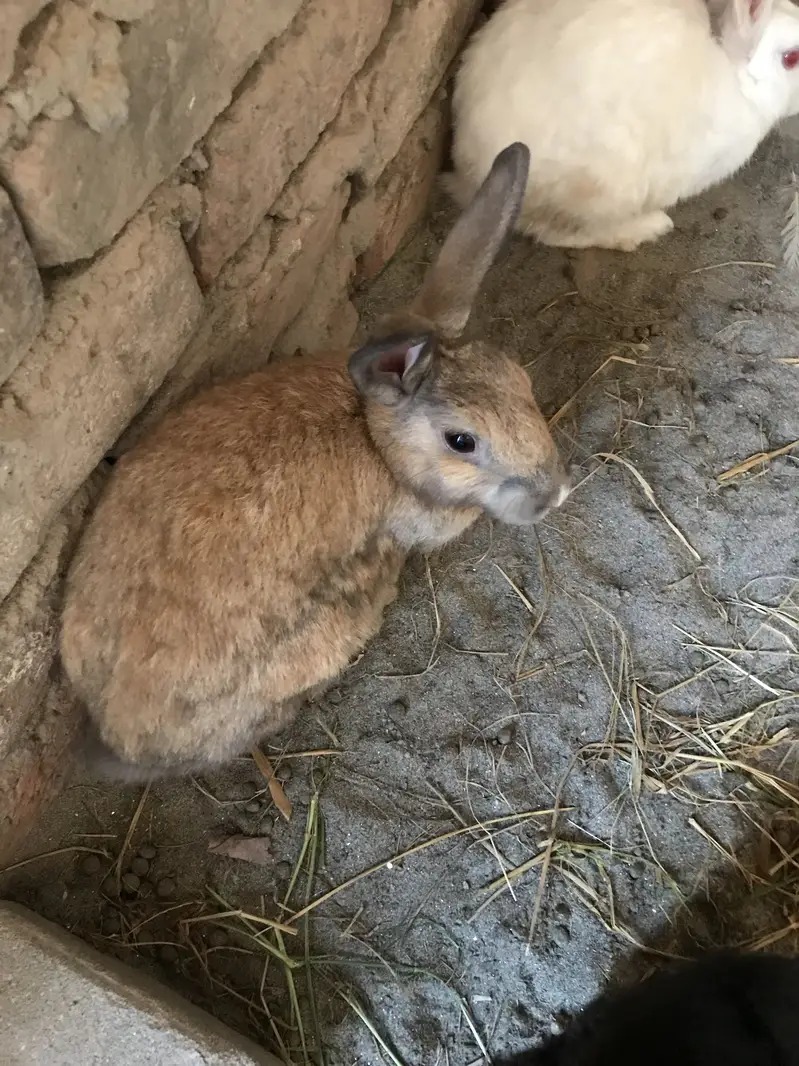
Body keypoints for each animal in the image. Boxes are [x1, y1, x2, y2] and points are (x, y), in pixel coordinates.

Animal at [447, 0, 799, 251]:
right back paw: (647, 228)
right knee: (554, 229)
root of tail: (468, 172)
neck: (734, 74)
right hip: (602, 188)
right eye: (791, 58)